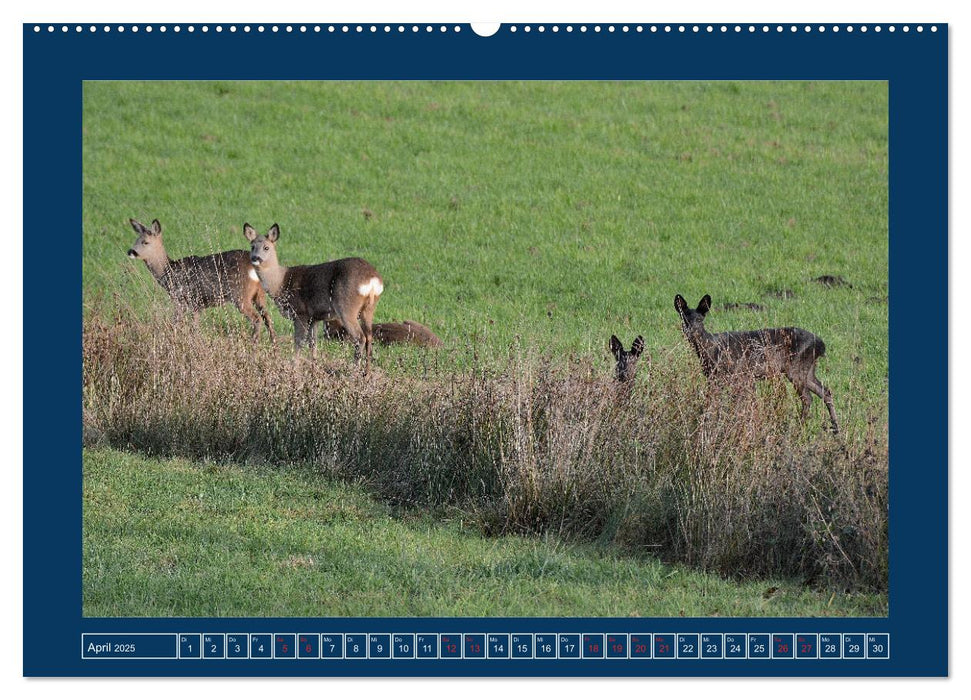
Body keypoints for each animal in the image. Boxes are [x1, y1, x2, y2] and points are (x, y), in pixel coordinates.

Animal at [125, 217, 276, 340]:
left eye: (145, 242)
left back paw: (254, 343)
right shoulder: (196, 305)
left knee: (257, 319)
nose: (130, 251)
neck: (169, 272)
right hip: (259, 294)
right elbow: (194, 327)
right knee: (268, 318)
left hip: (240, 295)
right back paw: (273, 345)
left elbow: (176, 324)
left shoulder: (182, 299)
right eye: (136, 240)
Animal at [245, 223, 386, 372]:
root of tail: (373, 280)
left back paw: (354, 371)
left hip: (347, 307)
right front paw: (313, 368)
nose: (255, 258)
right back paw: (366, 373)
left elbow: (299, 341)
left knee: (360, 337)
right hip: (369, 308)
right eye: (252, 246)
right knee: (369, 337)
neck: (280, 283)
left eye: (266, 247)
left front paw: (294, 368)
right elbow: (313, 343)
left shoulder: (300, 313)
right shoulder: (314, 318)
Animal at [676, 290, 844, 432]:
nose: (690, 332)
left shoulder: (741, 374)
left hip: (796, 366)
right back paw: (835, 427)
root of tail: (821, 344)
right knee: (825, 391)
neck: (712, 350)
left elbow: (739, 404)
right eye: (684, 319)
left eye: (700, 319)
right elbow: (713, 403)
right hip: (807, 369)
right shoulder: (713, 377)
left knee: (808, 398)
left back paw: (799, 429)